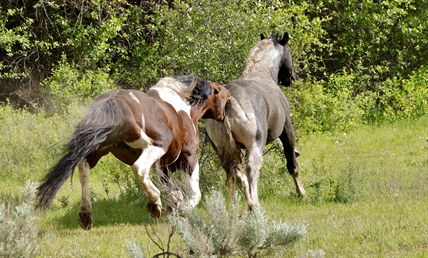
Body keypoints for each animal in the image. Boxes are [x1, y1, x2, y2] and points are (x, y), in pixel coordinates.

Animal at [36, 75, 231, 230]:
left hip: (99, 147)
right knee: (139, 168)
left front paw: (175, 213)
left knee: (83, 169)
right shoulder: (188, 157)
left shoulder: (164, 167)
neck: (182, 106)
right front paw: (181, 212)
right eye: (224, 95)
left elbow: (175, 194)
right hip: (153, 146)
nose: (223, 116)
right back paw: (154, 204)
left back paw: (85, 214)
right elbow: (193, 194)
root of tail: (114, 102)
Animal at [206, 32, 306, 210]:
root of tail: (228, 102)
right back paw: (255, 204)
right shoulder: (287, 129)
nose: (292, 77)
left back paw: (248, 204)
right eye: (289, 50)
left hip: (222, 150)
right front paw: (301, 192)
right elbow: (292, 164)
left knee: (237, 175)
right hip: (254, 145)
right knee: (251, 169)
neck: (262, 74)